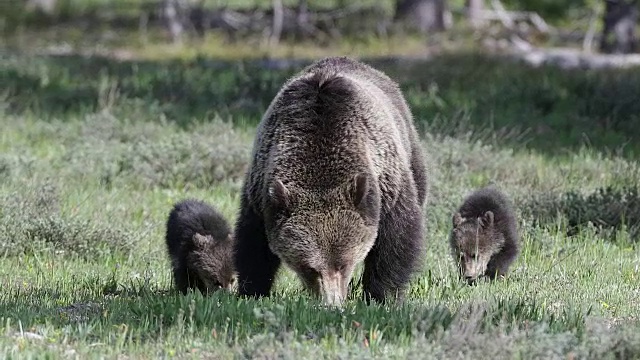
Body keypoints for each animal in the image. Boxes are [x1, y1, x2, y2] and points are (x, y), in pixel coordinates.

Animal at [232, 56, 428, 306]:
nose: (331, 303)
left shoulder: (387, 184)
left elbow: (397, 236)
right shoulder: (261, 192)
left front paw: (382, 295)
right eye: (308, 268)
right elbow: (253, 244)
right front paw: (252, 290)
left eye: (343, 264)